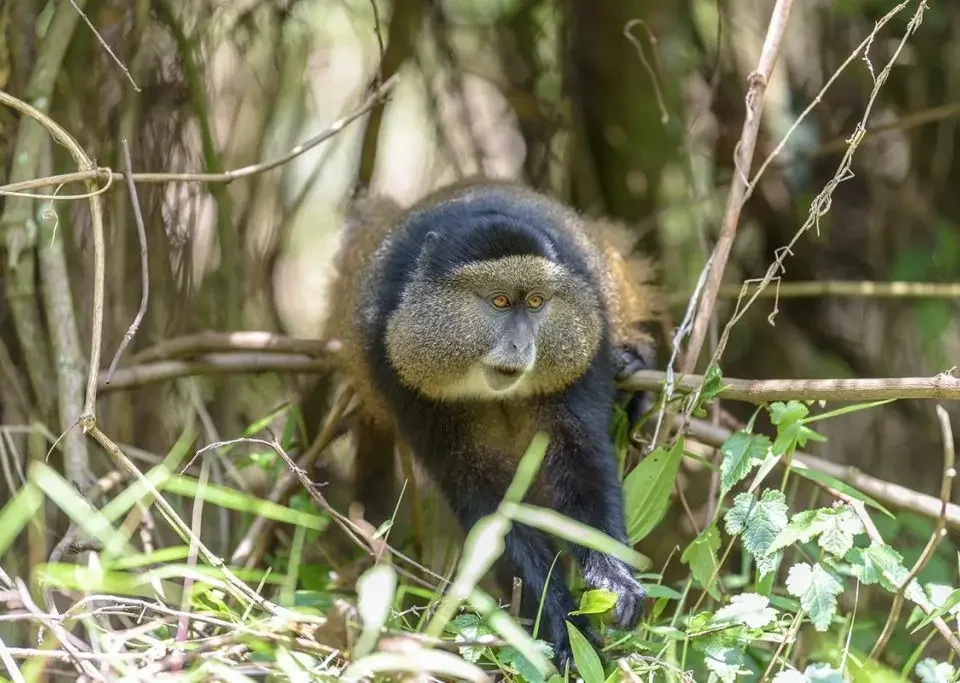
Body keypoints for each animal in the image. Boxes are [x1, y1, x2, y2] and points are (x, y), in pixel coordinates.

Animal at [319, 177, 657, 667]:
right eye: (499, 301)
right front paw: (561, 626)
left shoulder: (581, 354)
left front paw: (613, 580)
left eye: (535, 302)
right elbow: (485, 498)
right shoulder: (399, 372)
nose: (521, 344)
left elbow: (583, 462)